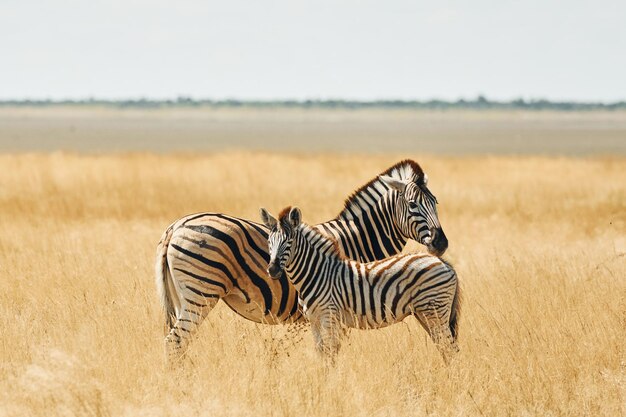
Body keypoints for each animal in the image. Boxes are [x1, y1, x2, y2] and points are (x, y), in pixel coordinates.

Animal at [258, 206, 458, 362]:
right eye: (269, 241)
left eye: (289, 242)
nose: (273, 270)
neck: (316, 272)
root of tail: (443, 262)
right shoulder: (314, 320)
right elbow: (321, 353)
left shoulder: (329, 317)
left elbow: (330, 354)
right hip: (425, 314)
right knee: (445, 347)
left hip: (435, 311)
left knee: (449, 348)